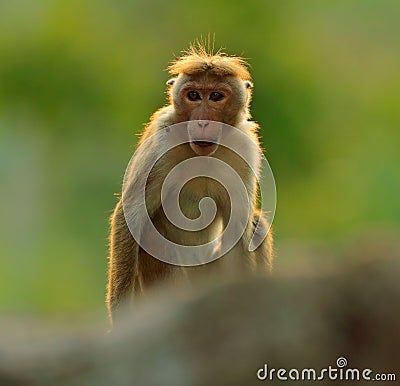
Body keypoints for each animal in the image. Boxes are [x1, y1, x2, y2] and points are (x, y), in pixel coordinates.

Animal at [106, 43, 274, 322]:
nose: (203, 121)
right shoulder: (161, 143)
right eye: (194, 95)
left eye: (215, 96)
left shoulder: (245, 147)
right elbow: (129, 215)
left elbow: (240, 226)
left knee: (256, 223)